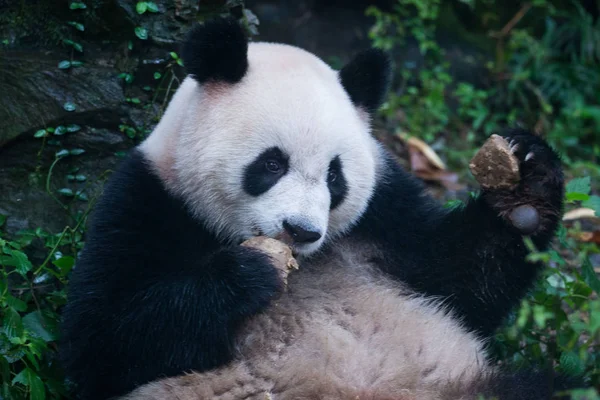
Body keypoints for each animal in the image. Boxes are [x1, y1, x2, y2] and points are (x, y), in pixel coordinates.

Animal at [59, 17, 568, 400]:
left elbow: (458, 283)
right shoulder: (149, 201)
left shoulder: (384, 213)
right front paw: (246, 275)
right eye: (271, 163)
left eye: (334, 176)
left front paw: (526, 189)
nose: (301, 231)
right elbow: (102, 339)